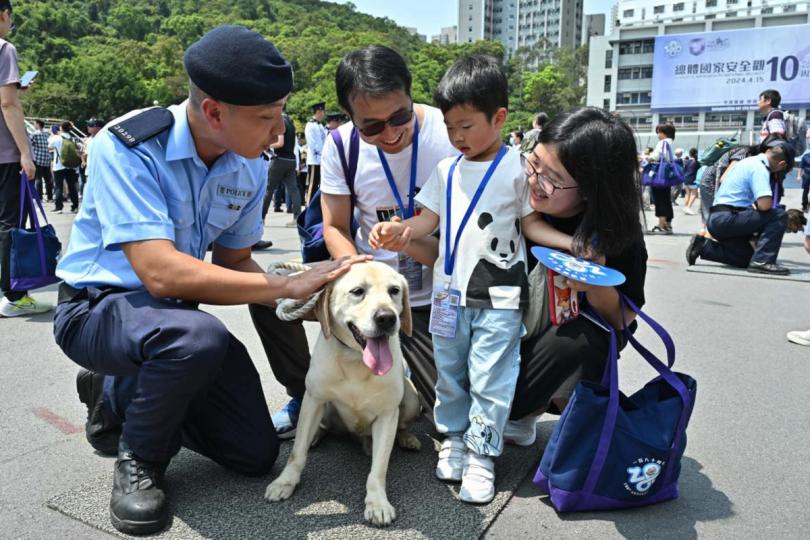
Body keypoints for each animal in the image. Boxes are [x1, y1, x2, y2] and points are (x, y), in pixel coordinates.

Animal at [264, 262, 420, 528]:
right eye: (358, 291)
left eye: (394, 291)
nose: (387, 318)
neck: (356, 359)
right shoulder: (314, 400)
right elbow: (297, 454)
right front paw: (285, 481)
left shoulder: (388, 414)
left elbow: (378, 469)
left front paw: (377, 503)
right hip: (323, 407)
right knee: (318, 429)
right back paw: (316, 436)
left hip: (411, 397)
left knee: (398, 426)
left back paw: (404, 438)